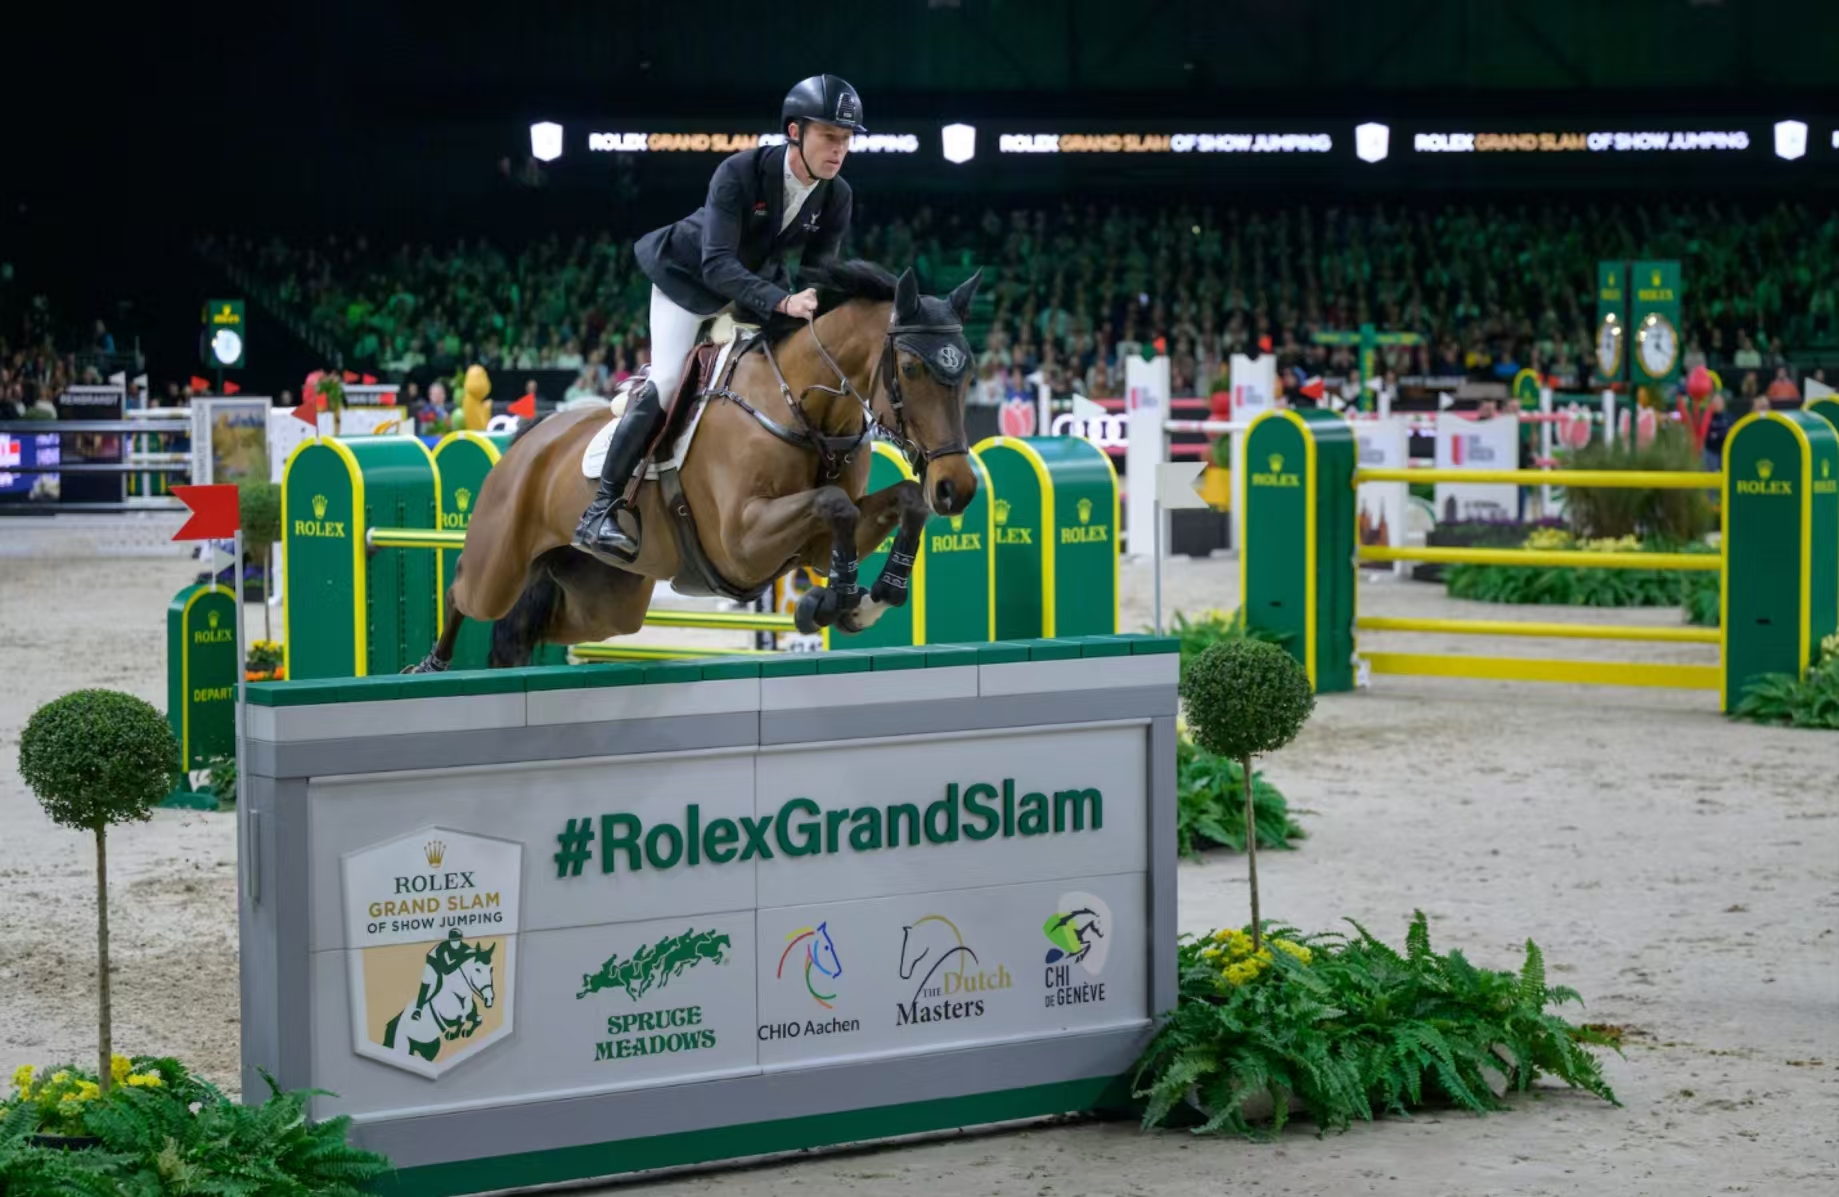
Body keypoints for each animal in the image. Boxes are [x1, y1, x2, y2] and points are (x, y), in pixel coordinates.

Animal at [407, 260, 982, 671]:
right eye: (910, 368)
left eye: (969, 371)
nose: (958, 488)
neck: (802, 409)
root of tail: (530, 438)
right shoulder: (741, 542)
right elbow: (834, 502)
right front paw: (835, 600)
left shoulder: (814, 543)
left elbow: (901, 502)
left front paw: (873, 598)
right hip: (498, 564)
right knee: (464, 593)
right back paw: (428, 666)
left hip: (606, 602)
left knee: (530, 628)